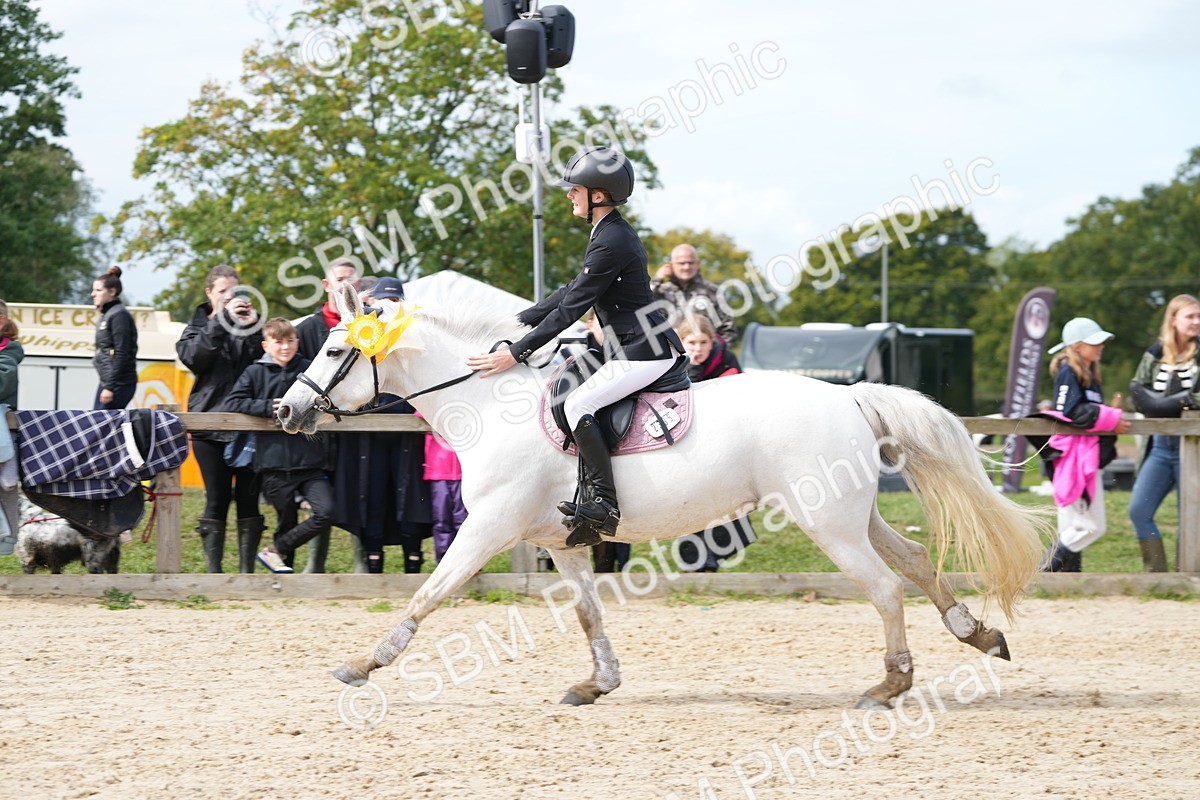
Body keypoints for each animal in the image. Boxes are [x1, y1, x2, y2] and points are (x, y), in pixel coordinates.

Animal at [277, 286, 1048, 708]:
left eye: (333, 351)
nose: (287, 411)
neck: (489, 407)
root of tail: (848, 395)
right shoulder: (559, 542)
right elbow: (588, 614)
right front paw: (598, 683)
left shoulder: (489, 528)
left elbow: (428, 594)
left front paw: (364, 663)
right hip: (850, 514)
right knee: (914, 561)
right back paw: (979, 634)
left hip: (827, 524)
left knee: (886, 589)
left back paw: (888, 687)